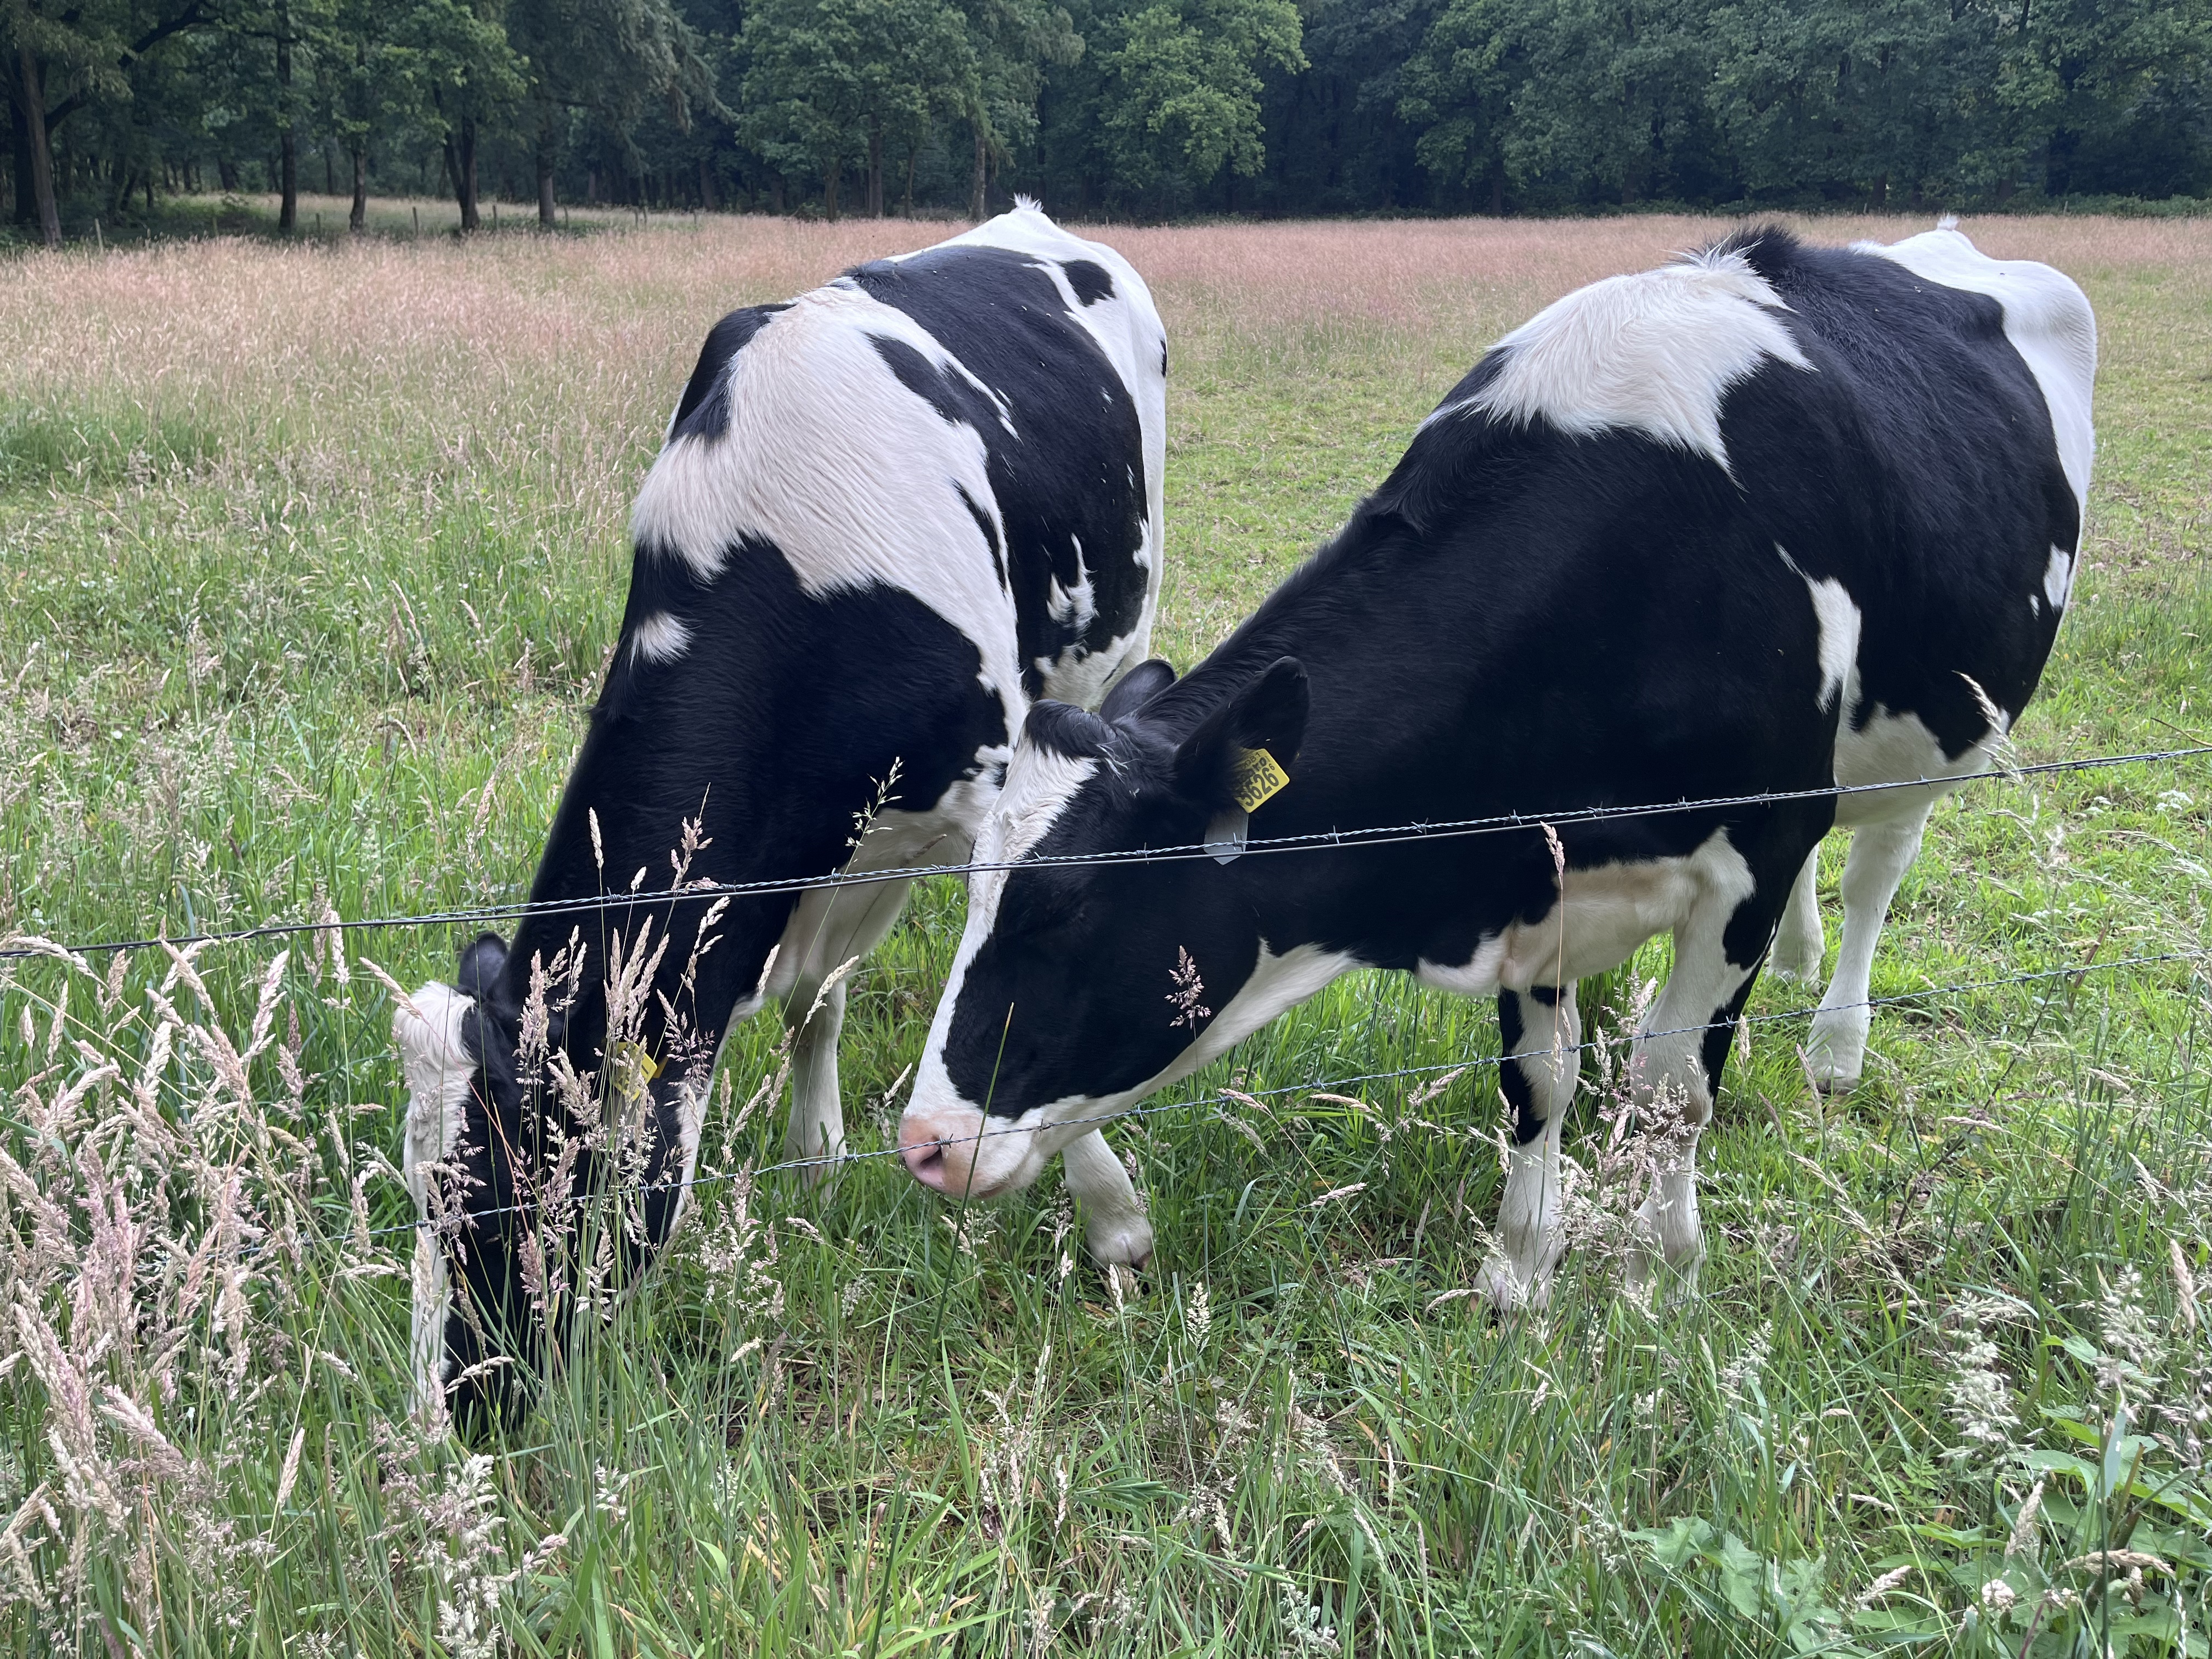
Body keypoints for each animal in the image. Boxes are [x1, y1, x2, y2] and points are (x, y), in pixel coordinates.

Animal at [392, 203, 1167, 1427]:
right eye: (415, 1195)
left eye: (508, 1187)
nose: (439, 1424)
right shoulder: (811, 865)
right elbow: (819, 1002)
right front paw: (815, 1153)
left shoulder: (988, 794)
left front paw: (1115, 1222)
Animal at [896, 223, 2095, 1310]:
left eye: (1070, 908)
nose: (923, 1141)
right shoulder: (1534, 867)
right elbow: (1537, 1081)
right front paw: (1519, 1275)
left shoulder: (1752, 844)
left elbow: (1675, 1088)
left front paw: (1664, 1280)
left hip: (1934, 732)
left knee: (1877, 870)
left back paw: (1836, 1043)